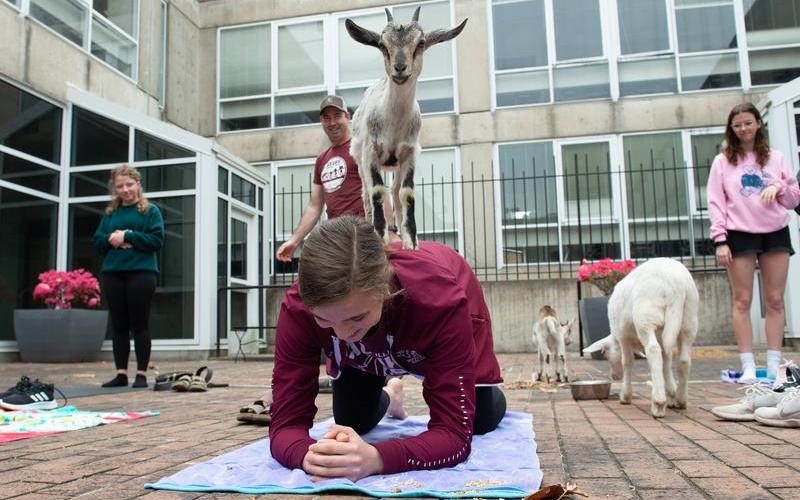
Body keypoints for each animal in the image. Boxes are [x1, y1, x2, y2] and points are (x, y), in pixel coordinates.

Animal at [346, 7, 468, 250]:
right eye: (382, 44)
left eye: (420, 43)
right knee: (367, 193)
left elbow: (407, 193)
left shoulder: (409, 153)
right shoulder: (371, 151)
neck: (393, 124)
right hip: (360, 159)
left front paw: (411, 240)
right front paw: (380, 236)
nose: (400, 68)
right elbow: (377, 191)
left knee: (394, 191)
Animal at [580, 258, 700, 418]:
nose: (614, 376)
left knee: (653, 351)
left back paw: (658, 404)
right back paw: (681, 400)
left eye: (605, 353)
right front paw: (671, 394)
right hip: (688, 318)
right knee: (684, 359)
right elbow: (666, 364)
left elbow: (627, 362)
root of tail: (676, 285)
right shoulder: (663, 339)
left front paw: (625, 395)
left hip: (646, 317)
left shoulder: (623, 336)